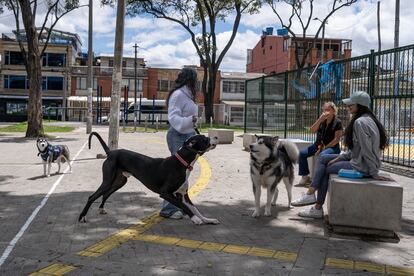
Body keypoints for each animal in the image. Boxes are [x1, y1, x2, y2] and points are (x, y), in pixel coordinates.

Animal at [78, 132, 220, 224]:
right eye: (205, 139)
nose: (216, 136)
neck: (182, 163)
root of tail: (111, 152)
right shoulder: (166, 193)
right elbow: (183, 206)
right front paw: (195, 219)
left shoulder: (184, 195)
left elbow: (195, 208)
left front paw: (207, 219)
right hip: (108, 181)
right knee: (92, 196)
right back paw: (82, 217)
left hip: (119, 181)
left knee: (106, 194)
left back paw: (101, 209)